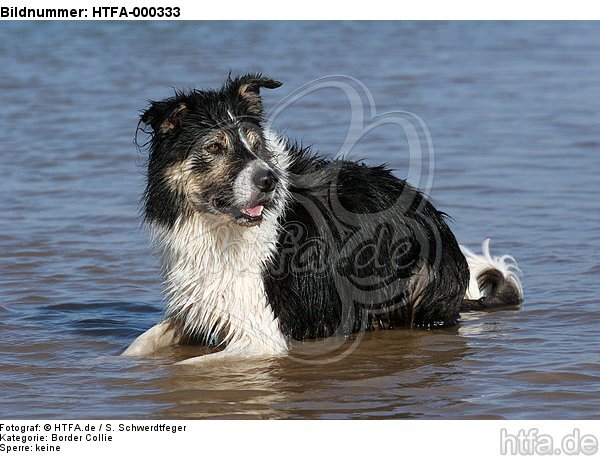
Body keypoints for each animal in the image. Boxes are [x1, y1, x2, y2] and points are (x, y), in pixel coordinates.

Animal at [124, 74, 524, 364]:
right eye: (214, 147)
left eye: (256, 144)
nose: (269, 180)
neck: (219, 227)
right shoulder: (199, 302)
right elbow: (136, 347)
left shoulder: (264, 336)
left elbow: (187, 365)